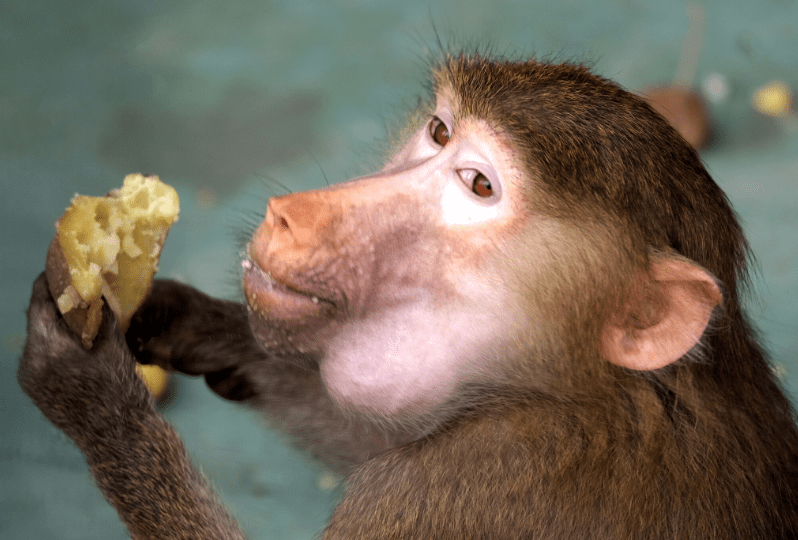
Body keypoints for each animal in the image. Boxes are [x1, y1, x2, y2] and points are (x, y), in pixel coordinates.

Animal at [17, 51, 798, 540]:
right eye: (439, 131)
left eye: (478, 185)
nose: (289, 213)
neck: (586, 390)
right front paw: (207, 326)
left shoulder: (469, 484)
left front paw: (92, 394)